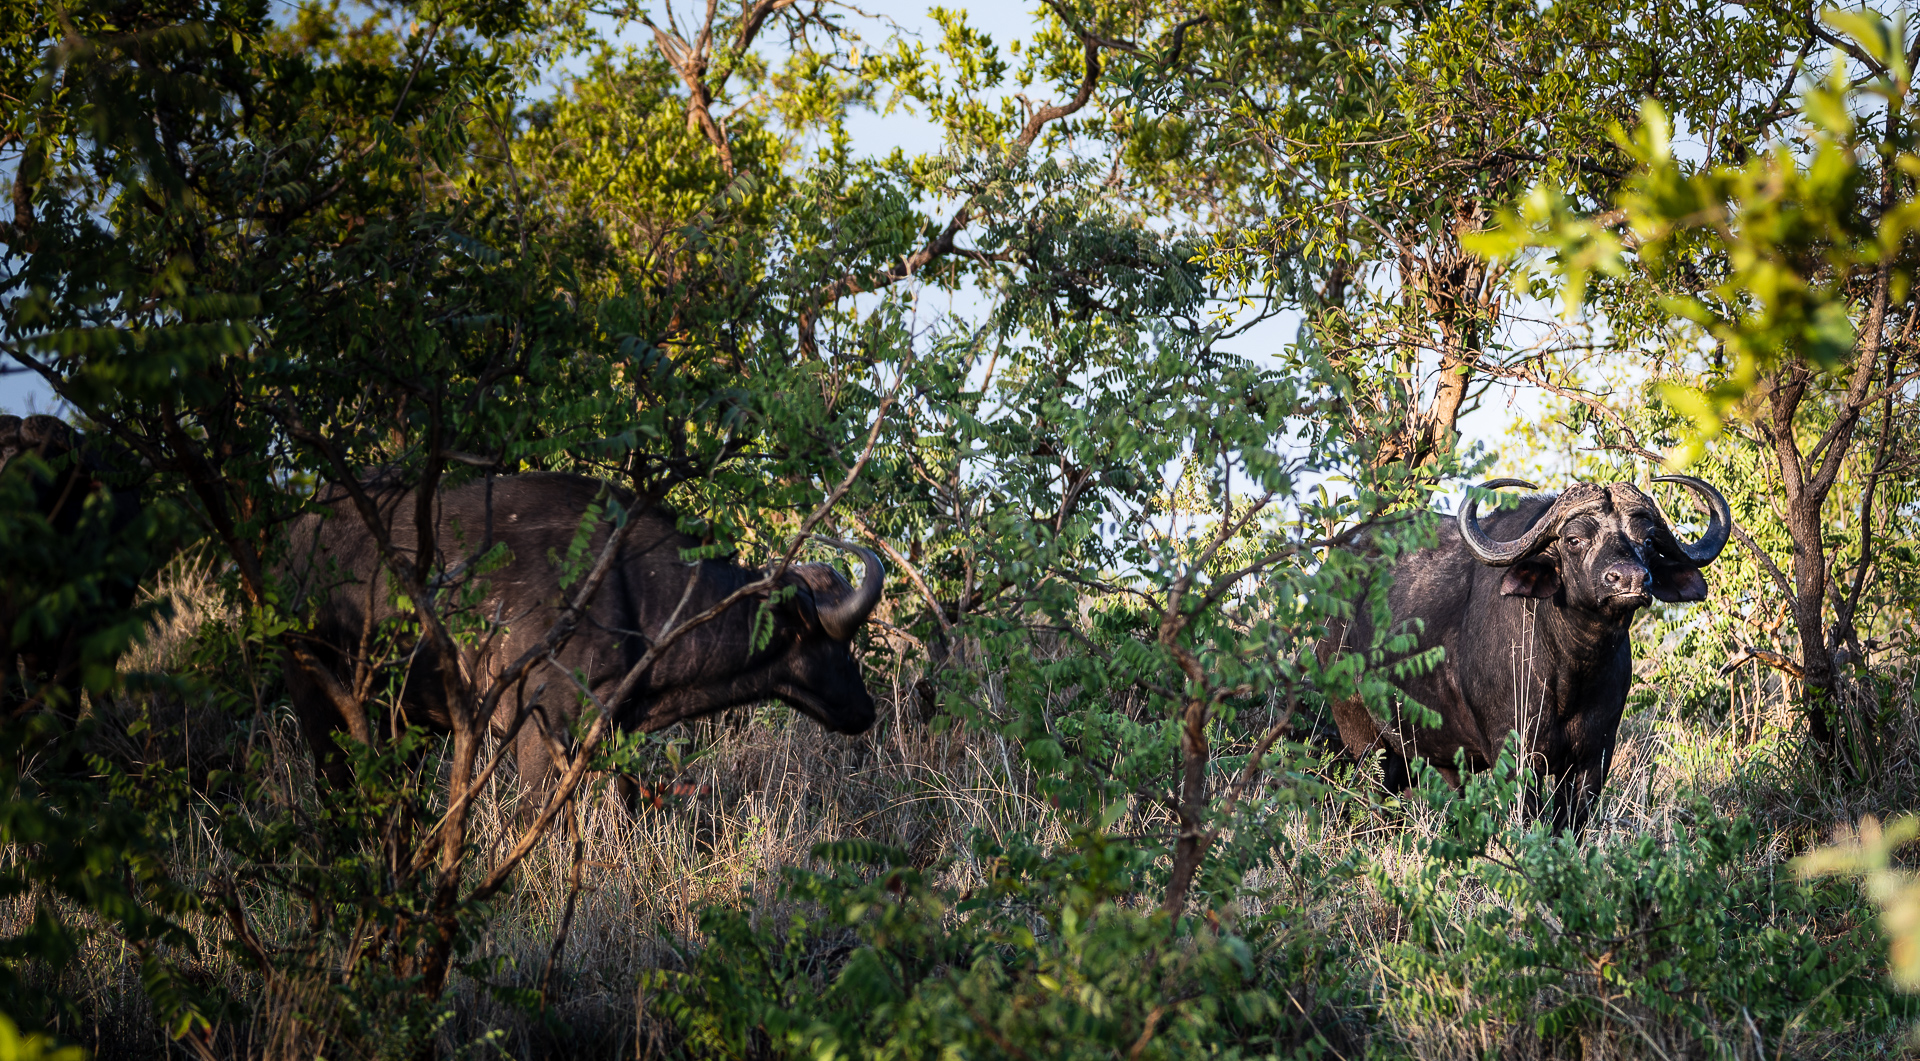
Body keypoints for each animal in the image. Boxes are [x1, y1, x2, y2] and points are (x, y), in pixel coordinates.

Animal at [281, 472, 882, 796]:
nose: (866, 710)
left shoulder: (614, 735)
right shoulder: (539, 731)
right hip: (319, 703)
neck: (636, 594)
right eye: (839, 645)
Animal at [1321, 476, 1730, 833]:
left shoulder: (1593, 757)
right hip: (1361, 739)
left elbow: (1570, 824)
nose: (1629, 579)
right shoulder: (1515, 757)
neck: (1571, 670)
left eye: (1646, 539)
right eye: (1574, 539)